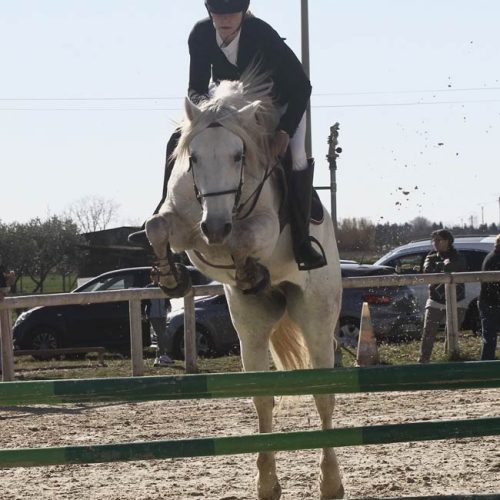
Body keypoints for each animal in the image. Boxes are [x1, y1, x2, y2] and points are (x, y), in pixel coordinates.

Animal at [145, 70, 344, 500]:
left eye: (238, 157)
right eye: (194, 159)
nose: (215, 227)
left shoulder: (262, 227)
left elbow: (244, 239)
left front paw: (246, 264)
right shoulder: (185, 222)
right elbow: (157, 227)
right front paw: (171, 276)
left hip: (317, 317)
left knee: (324, 395)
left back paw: (330, 483)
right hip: (250, 325)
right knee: (262, 398)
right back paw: (267, 484)